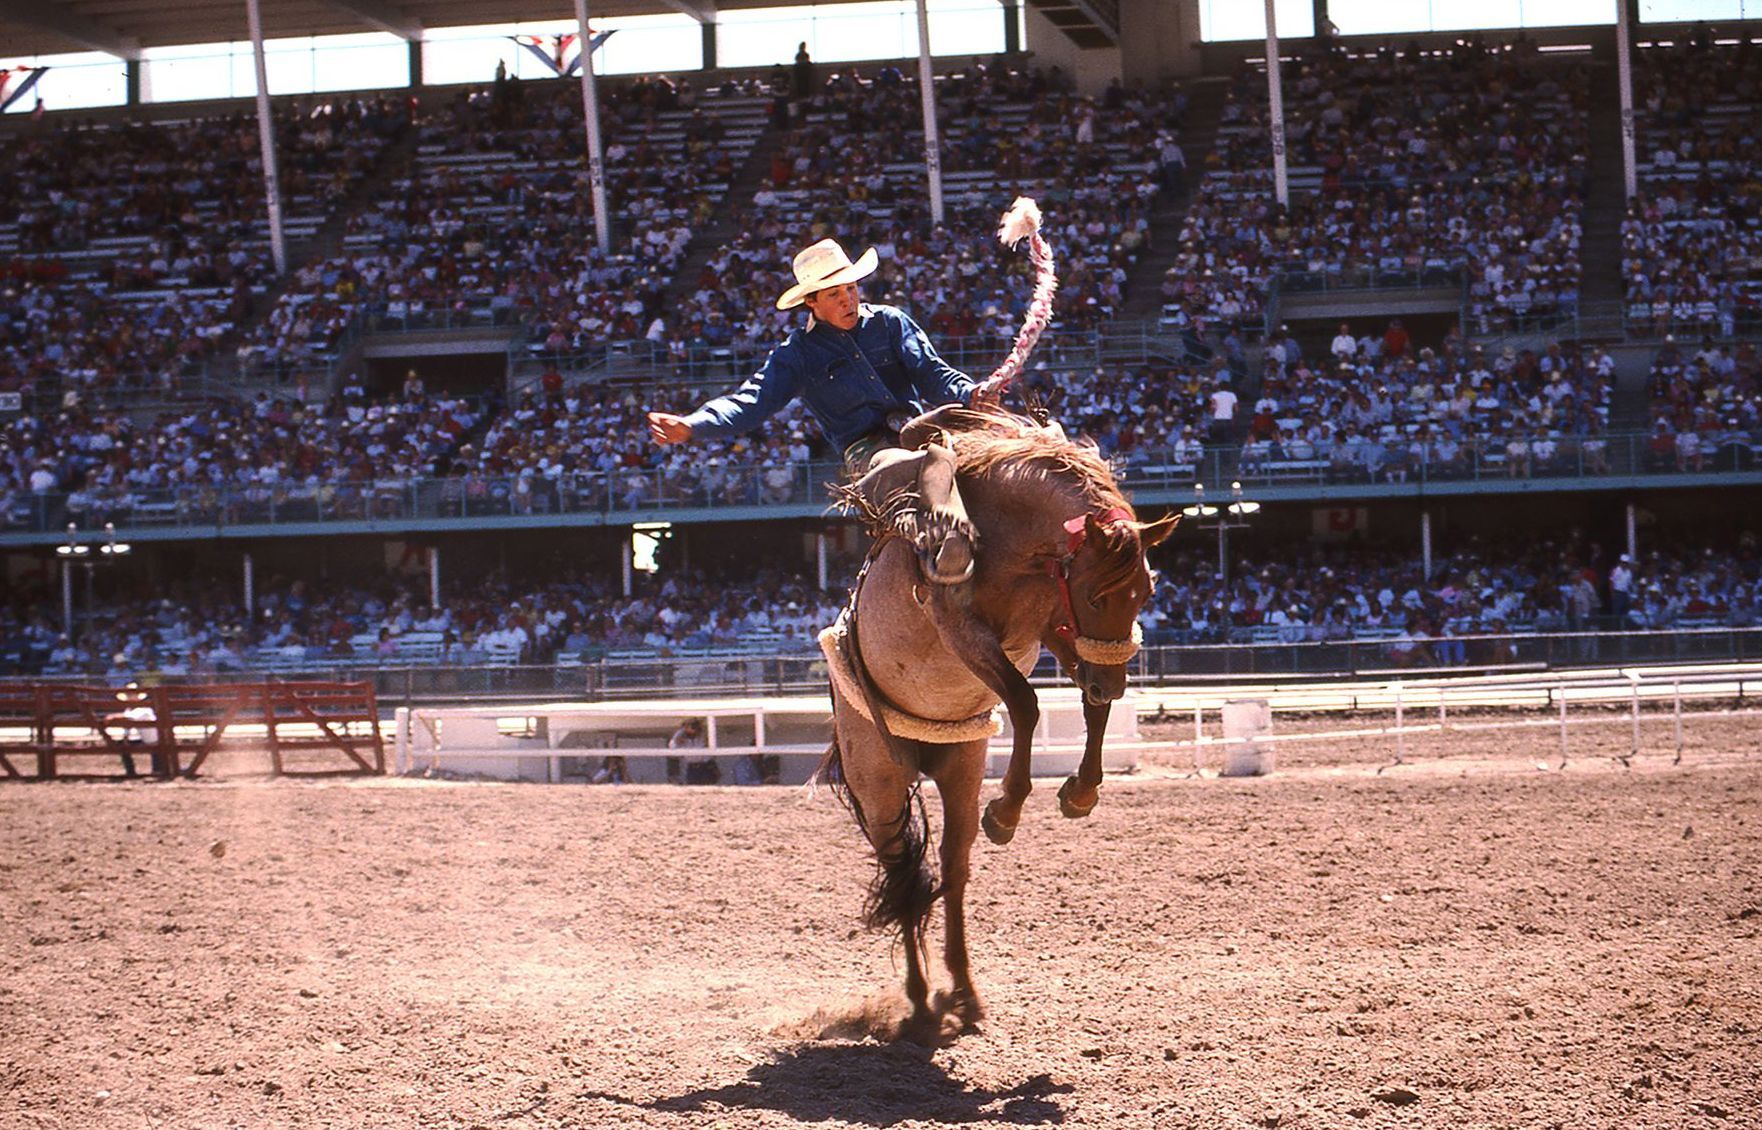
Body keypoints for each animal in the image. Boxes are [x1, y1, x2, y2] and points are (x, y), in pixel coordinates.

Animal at [818, 407, 1177, 1041]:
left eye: (1147, 591)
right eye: (1096, 593)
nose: (1114, 680)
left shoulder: (1055, 627)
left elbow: (1090, 709)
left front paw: (1080, 792)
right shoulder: (960, 627)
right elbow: (1025, 703)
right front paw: (1008, 810)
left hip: (959, 769)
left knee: (951, 870)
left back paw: (963, 993)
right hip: (879, 783)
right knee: (903, 873)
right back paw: (919, 1000)